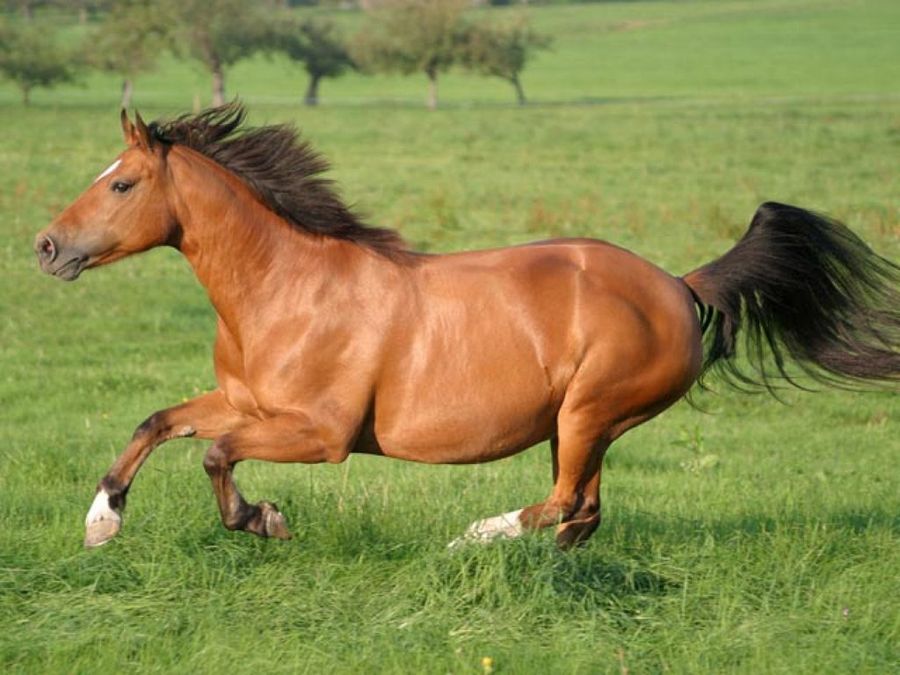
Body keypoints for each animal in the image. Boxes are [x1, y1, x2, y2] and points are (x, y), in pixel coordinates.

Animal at [34, 104, 899, 549]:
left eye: (120, 183)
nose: (46, 246)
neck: (288, 288)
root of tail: (680, 286)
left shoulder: (320, 432)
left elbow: (215, 455)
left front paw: (263, 518)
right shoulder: (244, 402)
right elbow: (158, 422)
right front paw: (102, 519)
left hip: (589, 413)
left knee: (563, 501)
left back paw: (474, 535)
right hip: (580, 424)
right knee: (583, 512)